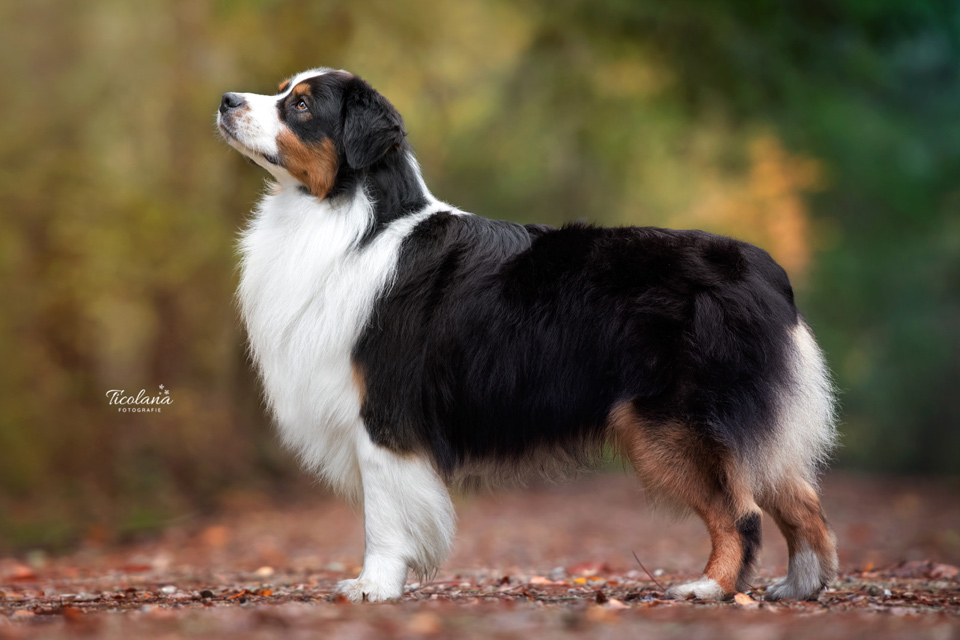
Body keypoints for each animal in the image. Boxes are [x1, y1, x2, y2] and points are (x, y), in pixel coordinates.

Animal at [218, 67, 840, 604]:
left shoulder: (385, 412)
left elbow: (385, 515)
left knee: (742, 511)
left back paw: (710, 587)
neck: (355, 220)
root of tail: (765, 270)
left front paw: (374, 586)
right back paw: (799, 587)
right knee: (801, 501)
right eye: (280, 90)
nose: (226, 100)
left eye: (300, 106)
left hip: (670, 423)